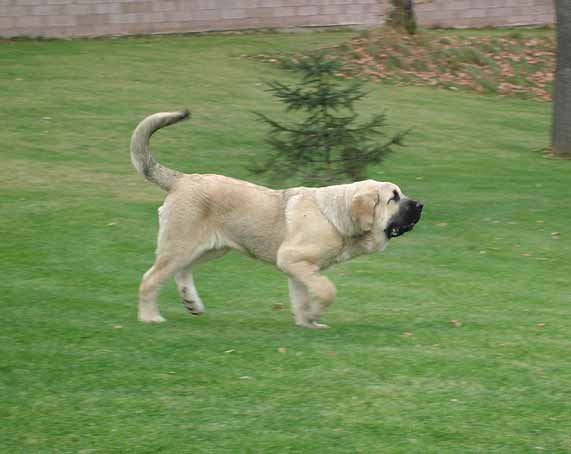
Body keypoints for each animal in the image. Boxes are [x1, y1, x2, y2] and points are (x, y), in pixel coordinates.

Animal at [131, 110, 424, 330]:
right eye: (394, 197)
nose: (421, 205)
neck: (335, 215)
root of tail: (182, 179)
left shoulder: (300, 268)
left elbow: (303, 298)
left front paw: (308, 323)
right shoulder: (292, 259)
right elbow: (327, 289)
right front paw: (315, 314)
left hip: (209, 248)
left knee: (182, 271)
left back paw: (191, 302)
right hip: (181, 245)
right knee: (150, 279)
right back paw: (150, 317)